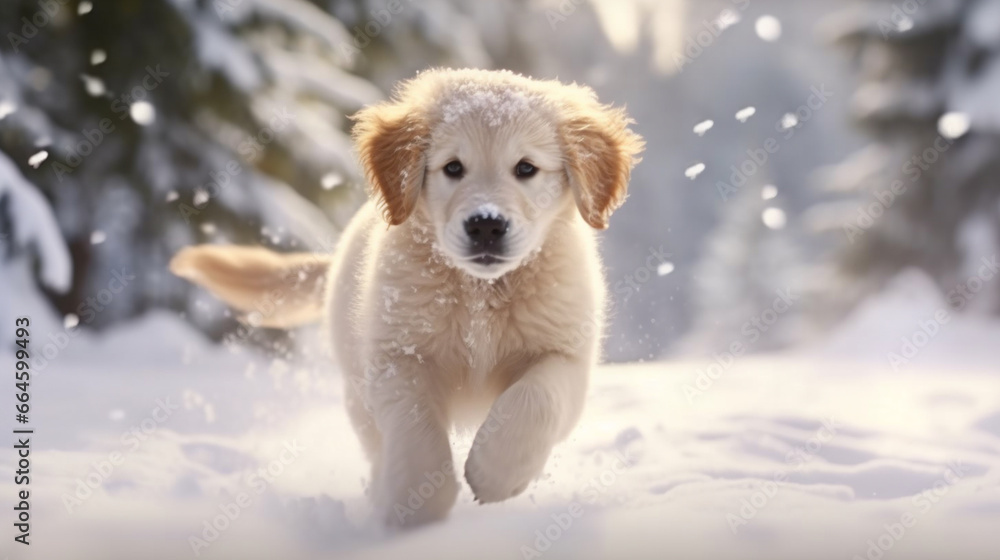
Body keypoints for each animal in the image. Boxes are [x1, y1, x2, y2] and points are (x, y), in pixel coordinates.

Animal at [169, 68, 644, 528]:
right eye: (453, 168)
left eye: (526, 168)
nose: (486, 225)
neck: (479, 291)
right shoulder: (397, 356)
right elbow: (416, 434)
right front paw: (414, 505)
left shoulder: (565, 353)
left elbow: (535, 400)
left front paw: (495, 471)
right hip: (356, 388)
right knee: (377, 442)